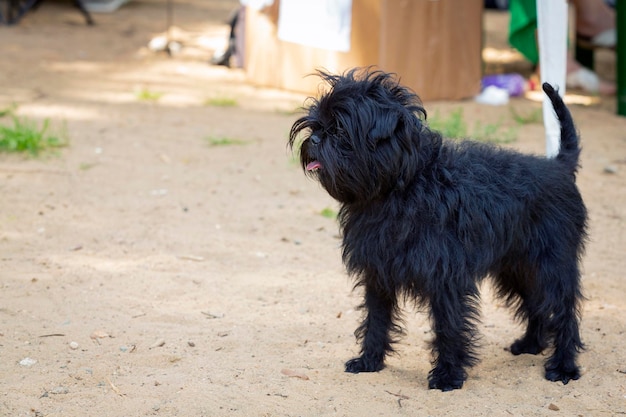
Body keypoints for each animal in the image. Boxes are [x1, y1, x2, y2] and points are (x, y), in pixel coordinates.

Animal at [288, 68, 584, 390]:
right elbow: (376, 319)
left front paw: (447, 375)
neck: (402, 186)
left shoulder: (445, 277)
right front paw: (369, 361)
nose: (315, 137)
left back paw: (564, 366)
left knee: (564, 312)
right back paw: (531, 343)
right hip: (516, 268)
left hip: (551, 265)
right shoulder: (378, 272)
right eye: (318, 124)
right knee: (536, 304)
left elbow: (448, 326)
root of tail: (559, 166)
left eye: (340, 129)